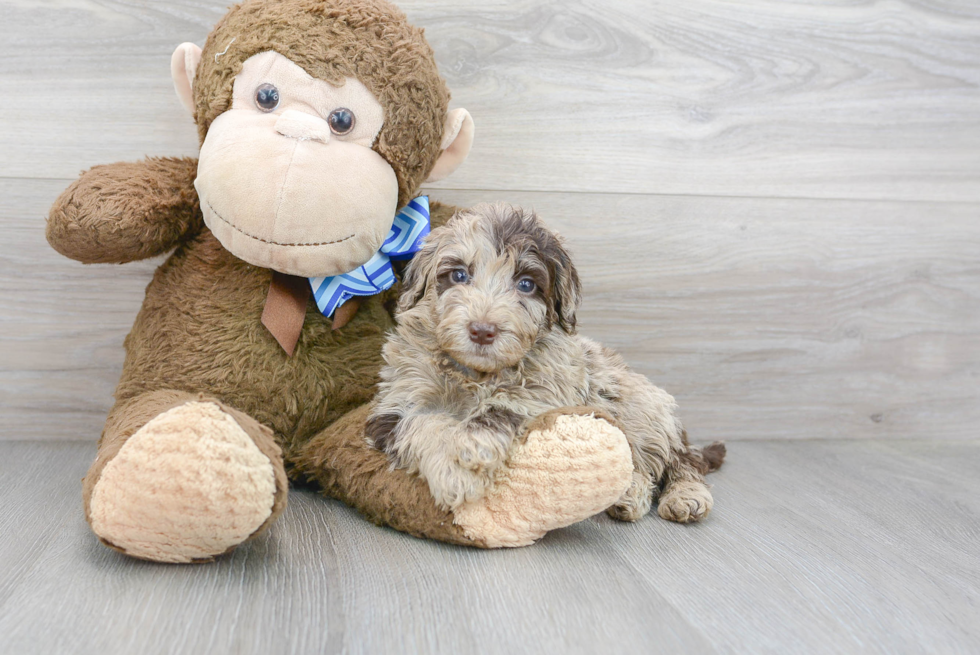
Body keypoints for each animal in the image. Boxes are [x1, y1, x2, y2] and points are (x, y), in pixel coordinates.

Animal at [364, 204, 724, 524]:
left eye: (526, 284)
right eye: (458, 275)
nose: (482, 330)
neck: (476, 374)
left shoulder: (548, 393)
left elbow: (504, 407)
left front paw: (470, 451)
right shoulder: (396, 401)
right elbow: (425, 423)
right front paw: (452, 472)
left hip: (642, 410)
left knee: (679, 460)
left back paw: (681, 497)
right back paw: (631, 495)